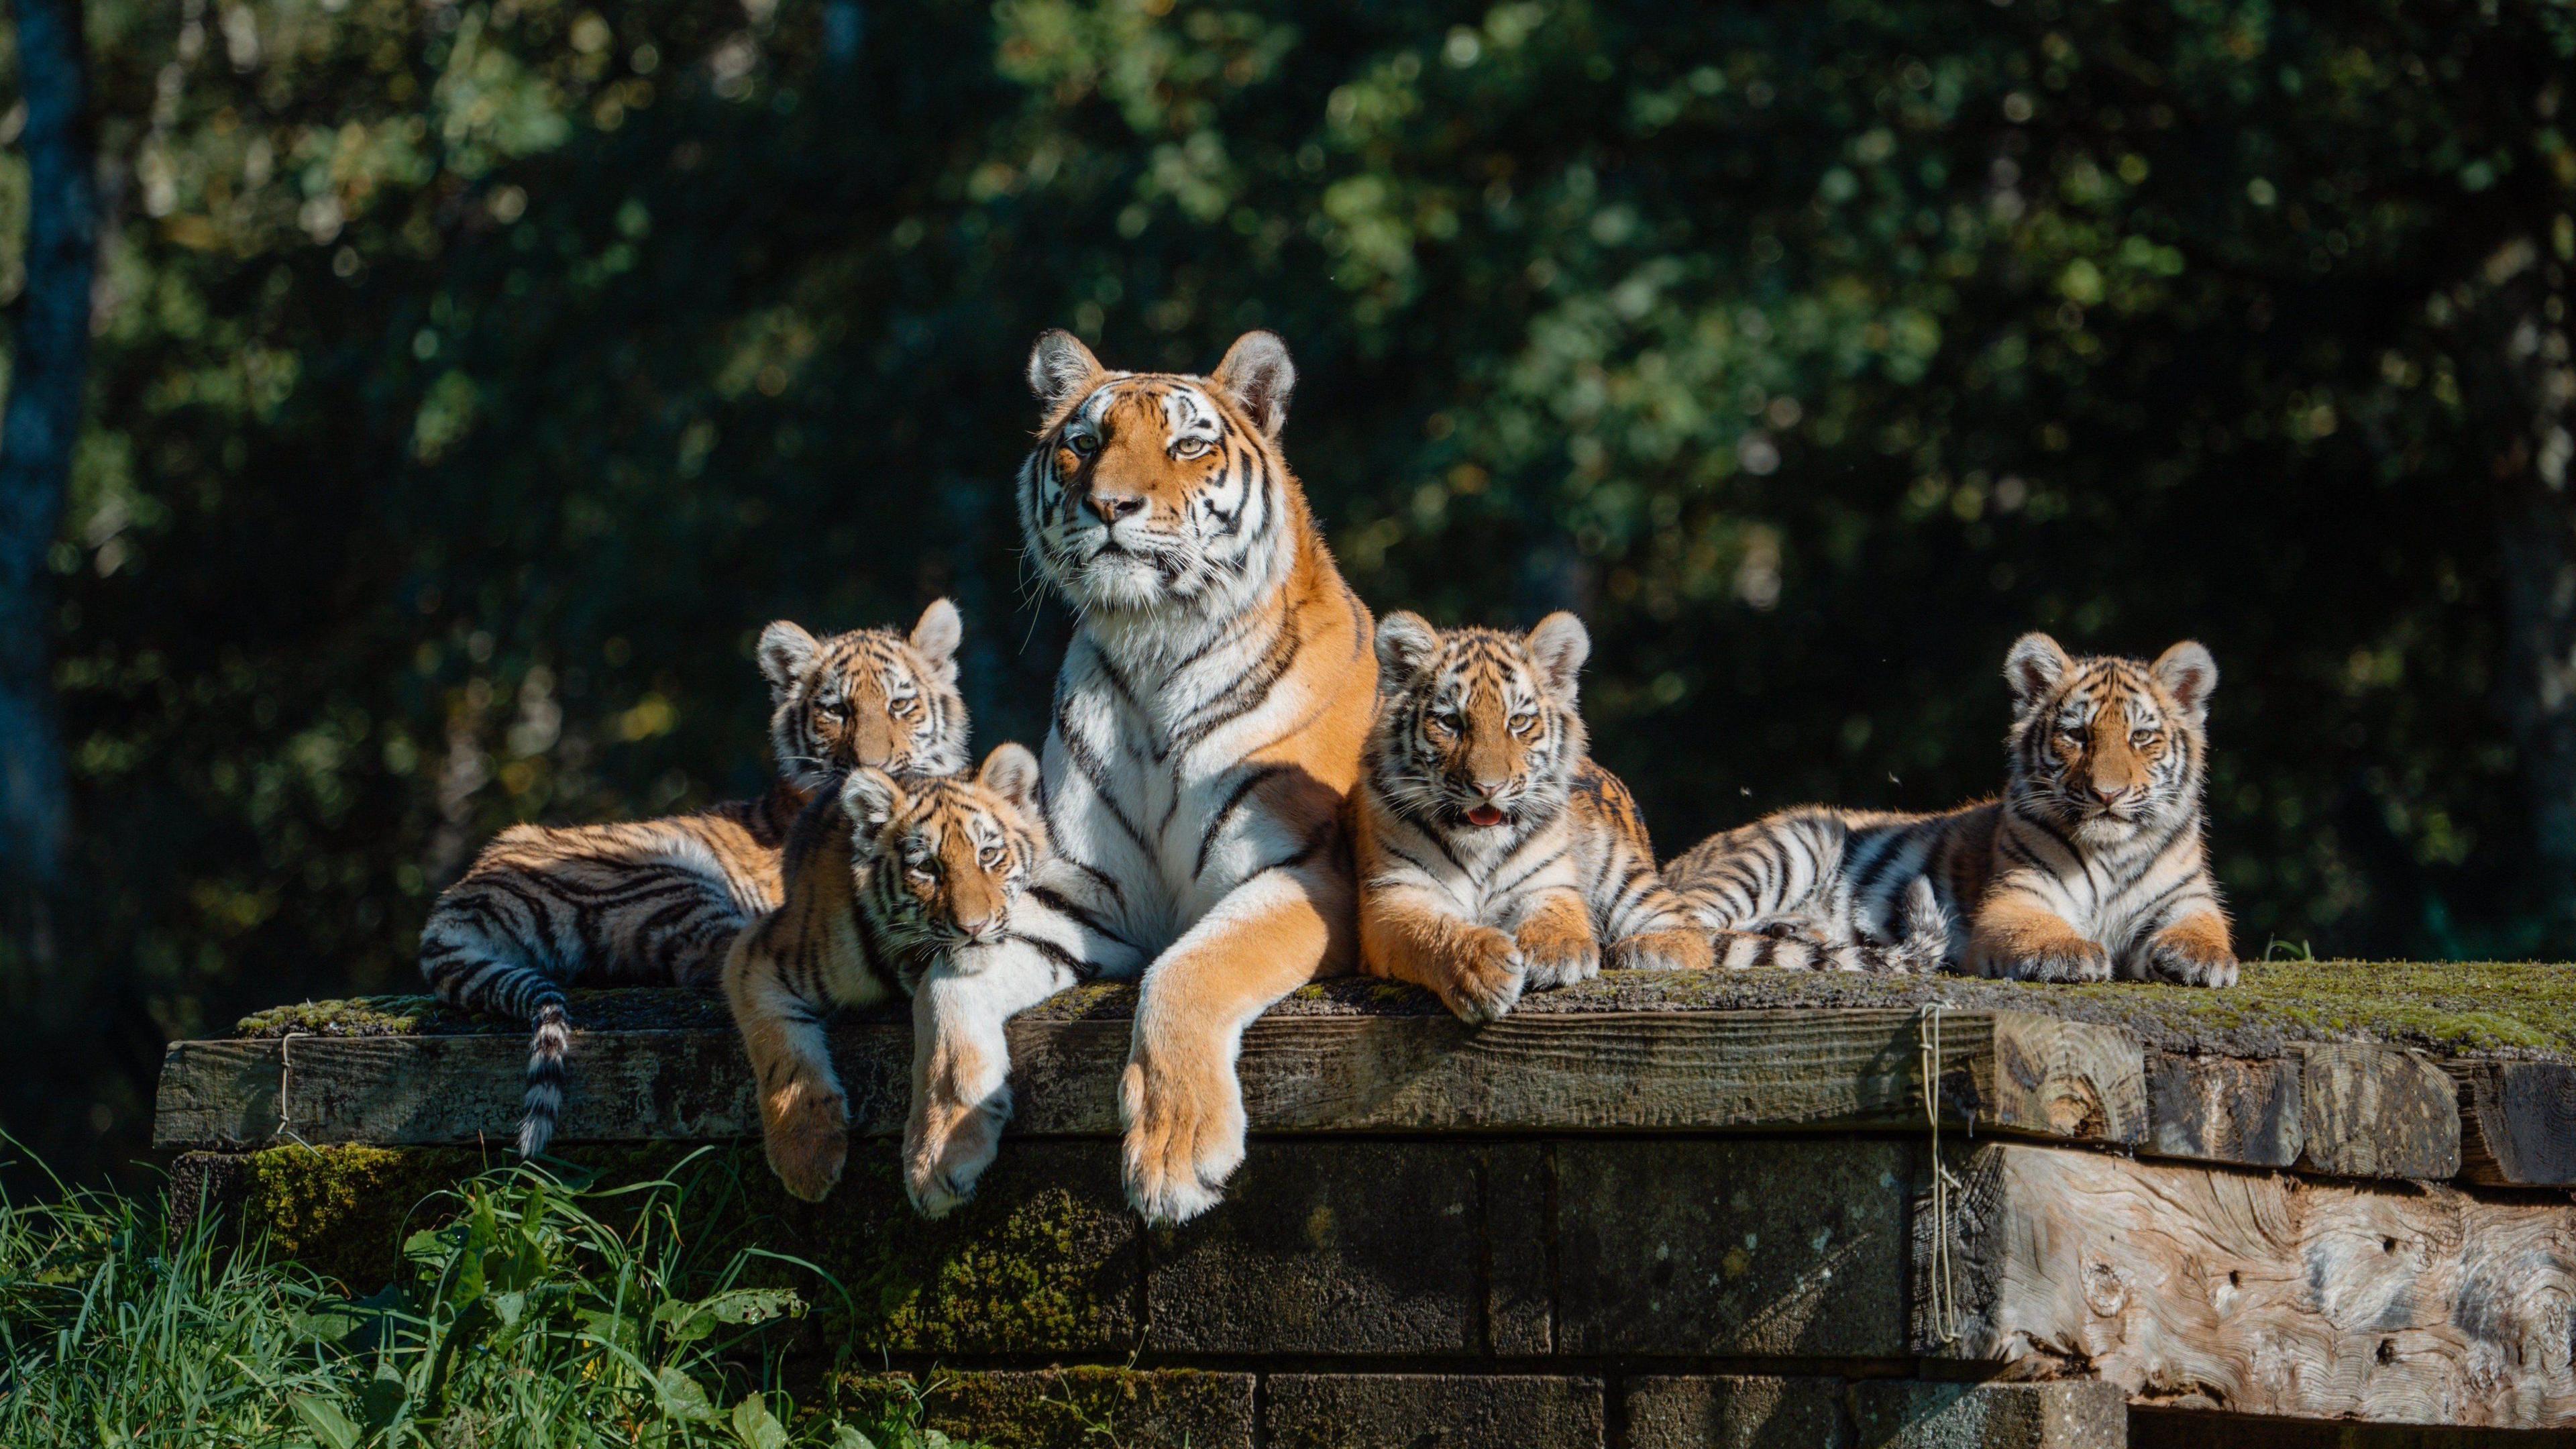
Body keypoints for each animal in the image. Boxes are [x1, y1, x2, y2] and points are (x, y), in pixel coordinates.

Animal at [912, 327, 1391, 1217]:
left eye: (1187, 445)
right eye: (1085, 443)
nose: (1110, 506)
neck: (1155, 655)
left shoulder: (1304, 873)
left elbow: (1190, 967)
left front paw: (1175, 1158)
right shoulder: (1081, 892)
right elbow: (948, 976)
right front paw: (937, 1147)